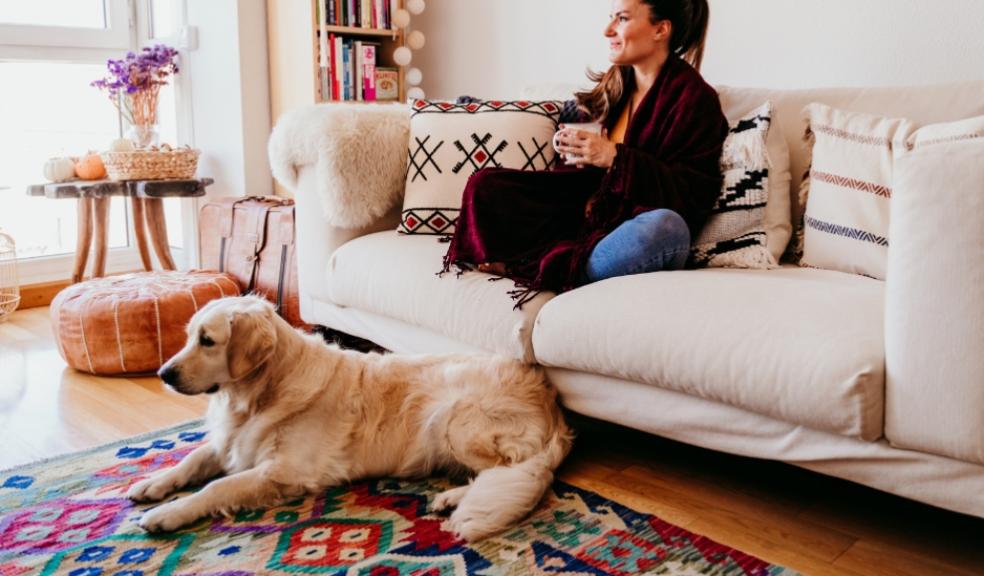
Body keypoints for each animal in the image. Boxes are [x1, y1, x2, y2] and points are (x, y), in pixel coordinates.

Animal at [127, 294, 572, 544]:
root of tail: (551, 402)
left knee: (509, 470)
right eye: (189, 336)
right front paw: (153, 484)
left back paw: (453, 498)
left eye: (208, 341)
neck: (261, 393)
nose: (163, 373)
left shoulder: (285, 471)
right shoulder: (233, 442)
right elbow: (192, 459)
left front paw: (168, 514)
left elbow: (216, 487)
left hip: (453, 417)